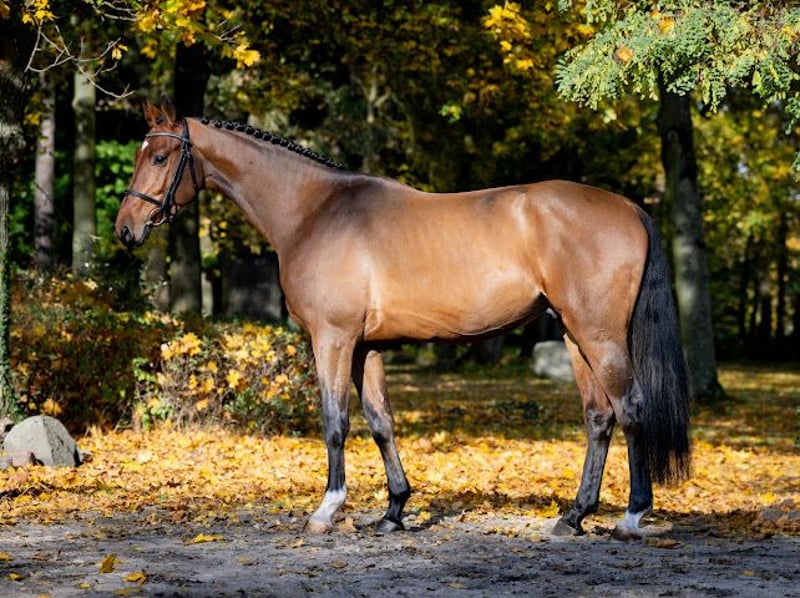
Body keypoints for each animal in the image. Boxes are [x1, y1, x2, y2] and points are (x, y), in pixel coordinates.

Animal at [115, 96, 691, 539]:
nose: (126, 228)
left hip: (600, 336)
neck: (314, 211)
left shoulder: (332, 339)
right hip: (575, 336)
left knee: (631, 408)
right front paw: (393, 510)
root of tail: (630, 208)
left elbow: (335, 422)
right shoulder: (365, 348)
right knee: (599, 417)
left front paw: (328, 509)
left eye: (161, 156)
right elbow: (380, 423)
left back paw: (632, 516)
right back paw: (573, 517)